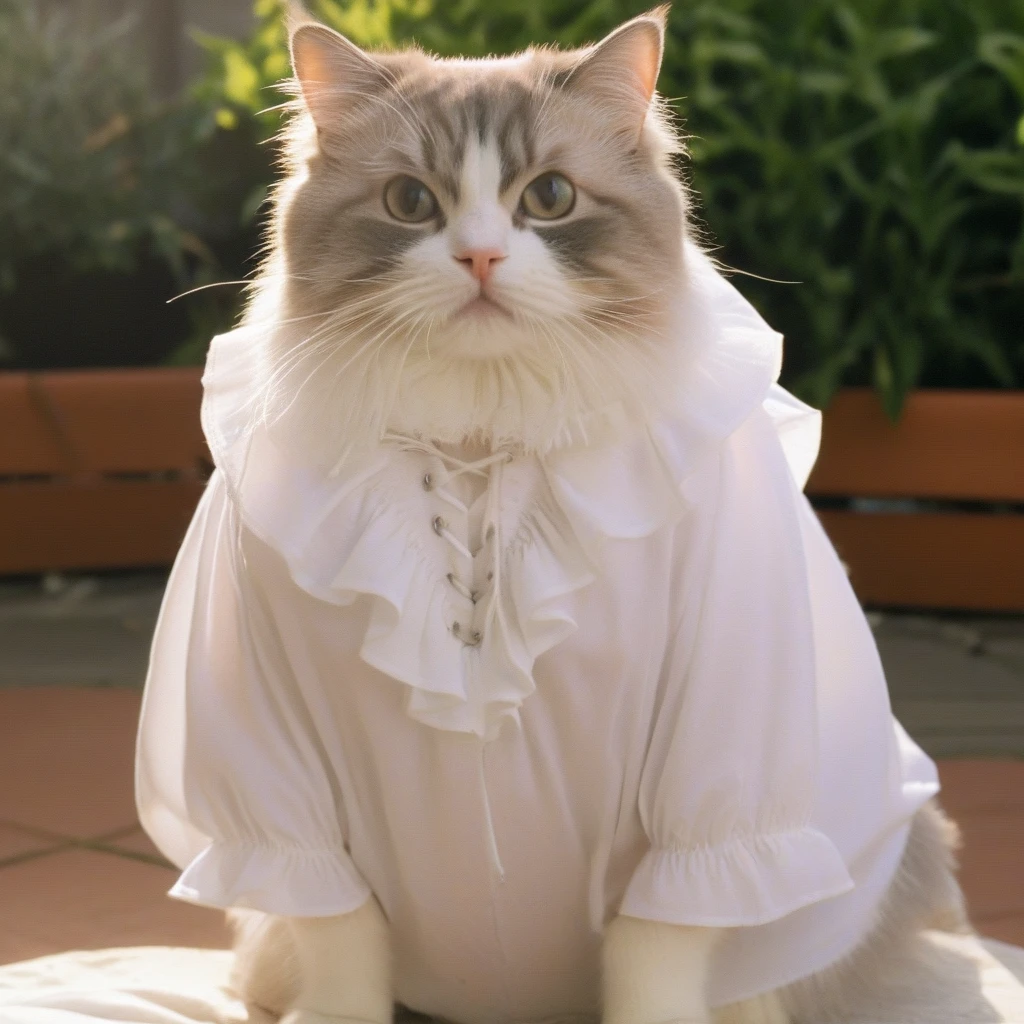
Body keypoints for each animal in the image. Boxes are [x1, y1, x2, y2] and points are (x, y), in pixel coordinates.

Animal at [207, 8, 966, 1024]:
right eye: (410, 202)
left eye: (551, 197)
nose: (480, 257)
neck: (482, 442)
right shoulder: (284, 796)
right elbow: (341, 951)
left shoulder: (706, 791)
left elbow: (659, 951)